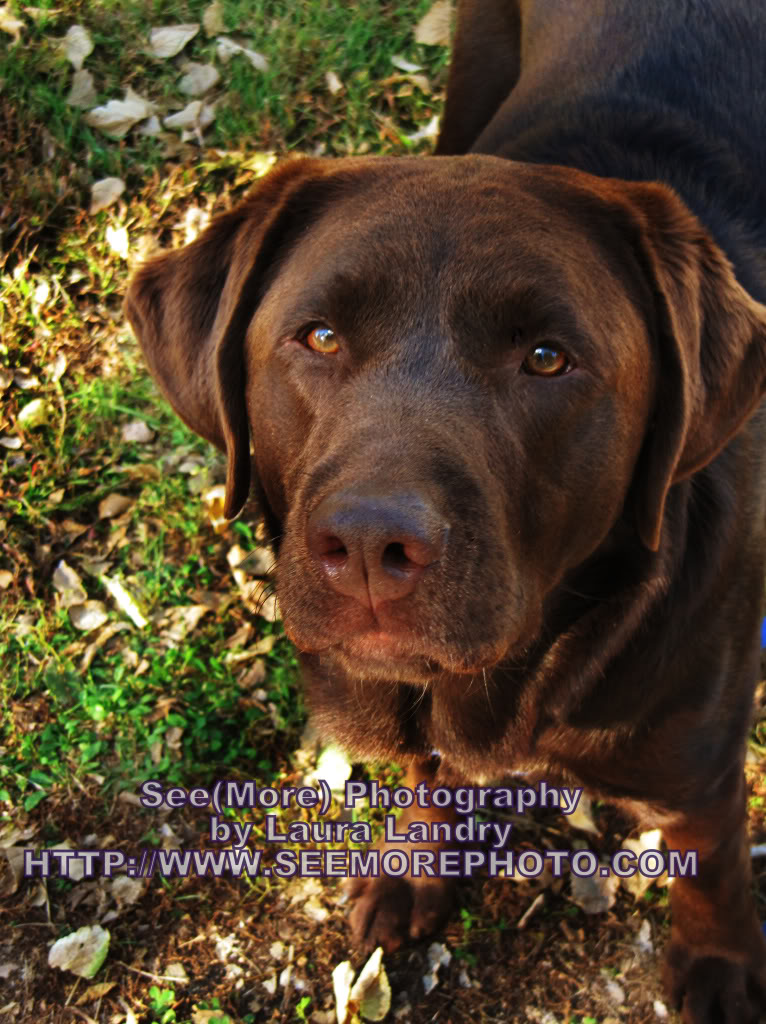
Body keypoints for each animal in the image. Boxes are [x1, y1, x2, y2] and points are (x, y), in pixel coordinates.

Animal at [125, 0, 766, 1019]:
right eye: (319, 336)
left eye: (546, 358)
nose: (368, 543)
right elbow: (428, 768)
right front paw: (418, 868)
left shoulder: (699, 759)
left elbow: (714, 862)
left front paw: (722, 964)